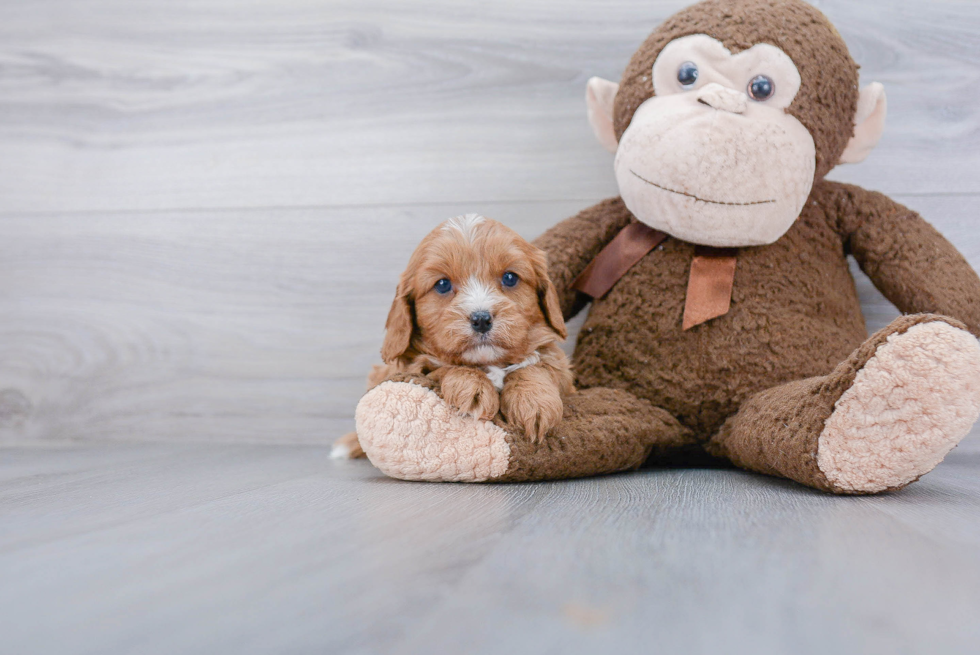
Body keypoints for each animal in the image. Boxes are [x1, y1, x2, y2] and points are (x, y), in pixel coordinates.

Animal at [334, 213, 572, 458]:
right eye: (442, 284)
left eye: (509, 278)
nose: (481, 319)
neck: (488, 362)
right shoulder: (408, 367)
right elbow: (441, 365)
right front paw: (472, 386)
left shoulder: (564, 373)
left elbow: (537, 364)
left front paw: (534, 401)